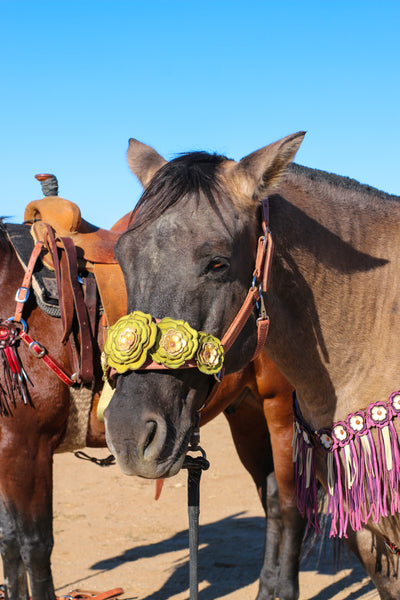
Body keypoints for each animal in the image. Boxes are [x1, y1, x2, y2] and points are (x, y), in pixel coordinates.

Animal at [0, 210, 302, 596]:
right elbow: (9, 540)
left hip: (281, 411)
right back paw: (266, 588)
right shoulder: (7, 452)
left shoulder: (26, 446)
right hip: (248, 416)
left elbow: (34, 546)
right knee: (273, 498)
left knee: (293, 506)